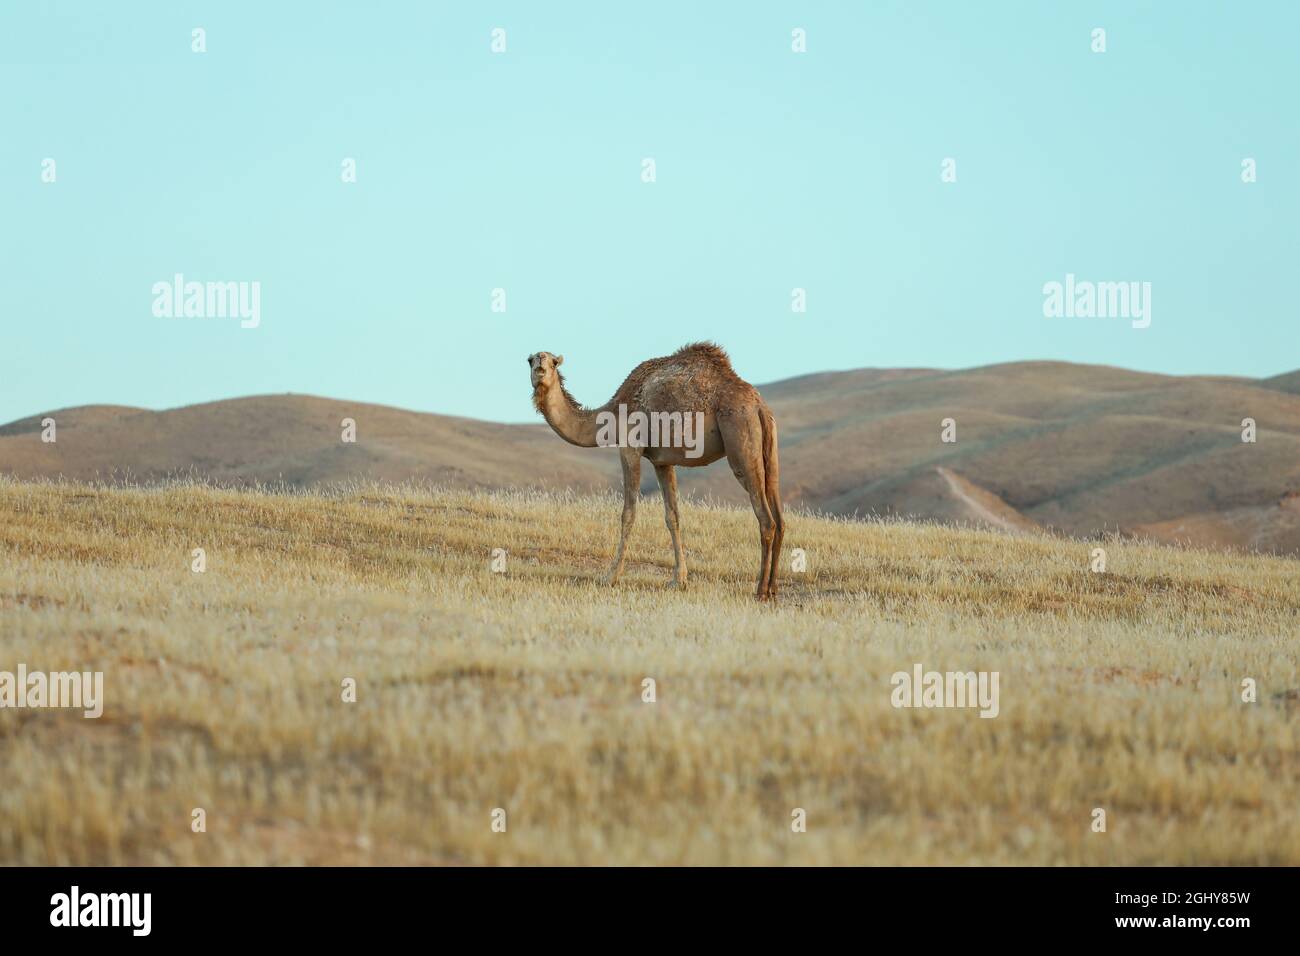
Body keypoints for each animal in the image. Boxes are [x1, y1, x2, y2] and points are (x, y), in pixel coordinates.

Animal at [527, 343, 780, 598]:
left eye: (553, 362)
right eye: (530, 360)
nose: (540, 365)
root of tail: (759, 406)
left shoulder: (629, 447)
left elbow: (628, 513)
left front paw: (610, 577)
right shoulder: (662, 462)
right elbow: (672, 516)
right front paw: (679, 580)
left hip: (740, 439)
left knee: (766, 519)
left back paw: (760, 590)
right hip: (768, 450)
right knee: (779, 515)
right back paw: (773, 588)